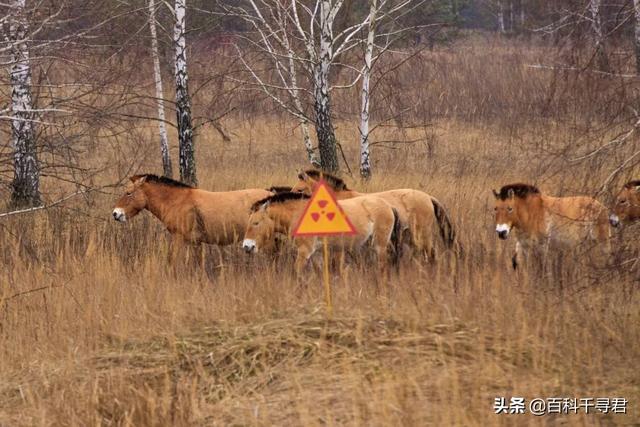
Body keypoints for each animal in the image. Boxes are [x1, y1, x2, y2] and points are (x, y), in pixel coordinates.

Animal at [240, 192, 400, 276]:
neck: (299, 214)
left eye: (256, 223)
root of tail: (388, 205)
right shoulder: (316, 253)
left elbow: (297, 272)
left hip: (379, 245)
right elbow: (319, 272)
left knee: (382, 266)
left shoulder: (304, 251)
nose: (247, 247)